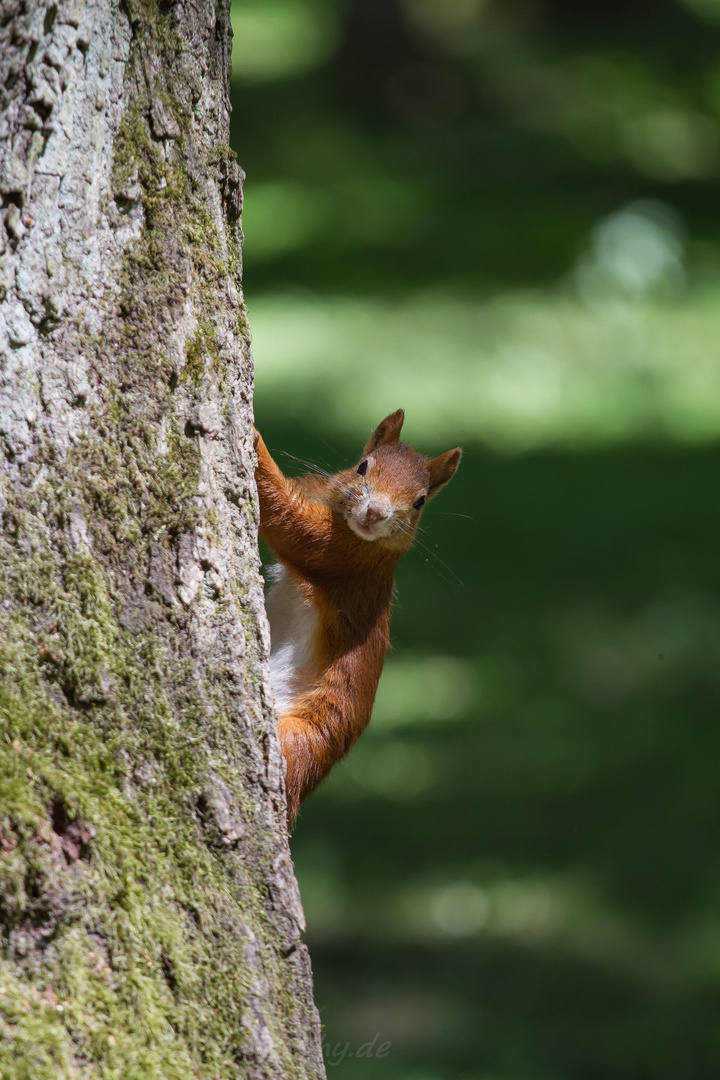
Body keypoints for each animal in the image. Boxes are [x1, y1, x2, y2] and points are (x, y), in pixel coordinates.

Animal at [253, 406, 462, 825]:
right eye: (364, 466)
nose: (376, 512)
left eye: (420, 501)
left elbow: (289, 524)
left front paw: (253, 439)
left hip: (298, 739)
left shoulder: (341, 559)